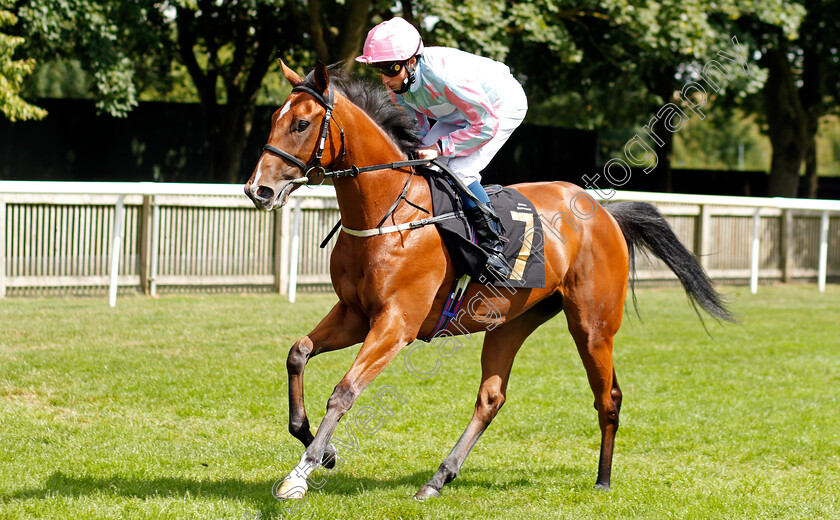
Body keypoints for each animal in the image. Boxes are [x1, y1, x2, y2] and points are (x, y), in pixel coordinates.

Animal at [246, 61, 732, 500]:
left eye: (302, 123)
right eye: (273, 120)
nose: (258, 190)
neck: (389, 212)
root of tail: (605, 212)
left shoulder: (396, 324)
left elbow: (344, 392)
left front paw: (301, 472)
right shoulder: (355, 314)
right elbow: (298, 353)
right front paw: (320, 448)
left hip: (592, 326)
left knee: (608, 397)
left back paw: (603, 480)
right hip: (511, 321)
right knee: (491, 398)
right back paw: (437, 479)